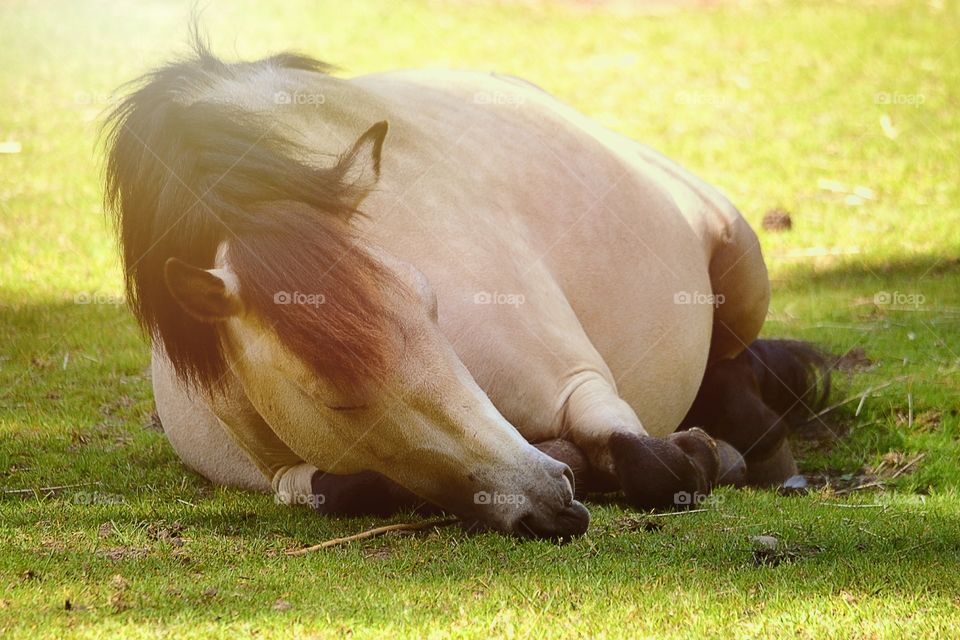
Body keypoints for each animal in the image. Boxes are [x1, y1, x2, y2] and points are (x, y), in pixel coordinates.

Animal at [101, 37, 828, 536]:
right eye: (334, 400)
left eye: (429, 301)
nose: (548, 495)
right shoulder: (286, 476)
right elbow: (347, 488)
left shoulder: (577, 384)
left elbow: (655, 463)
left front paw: (688, 457)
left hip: (741, 274)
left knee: (733, 366)